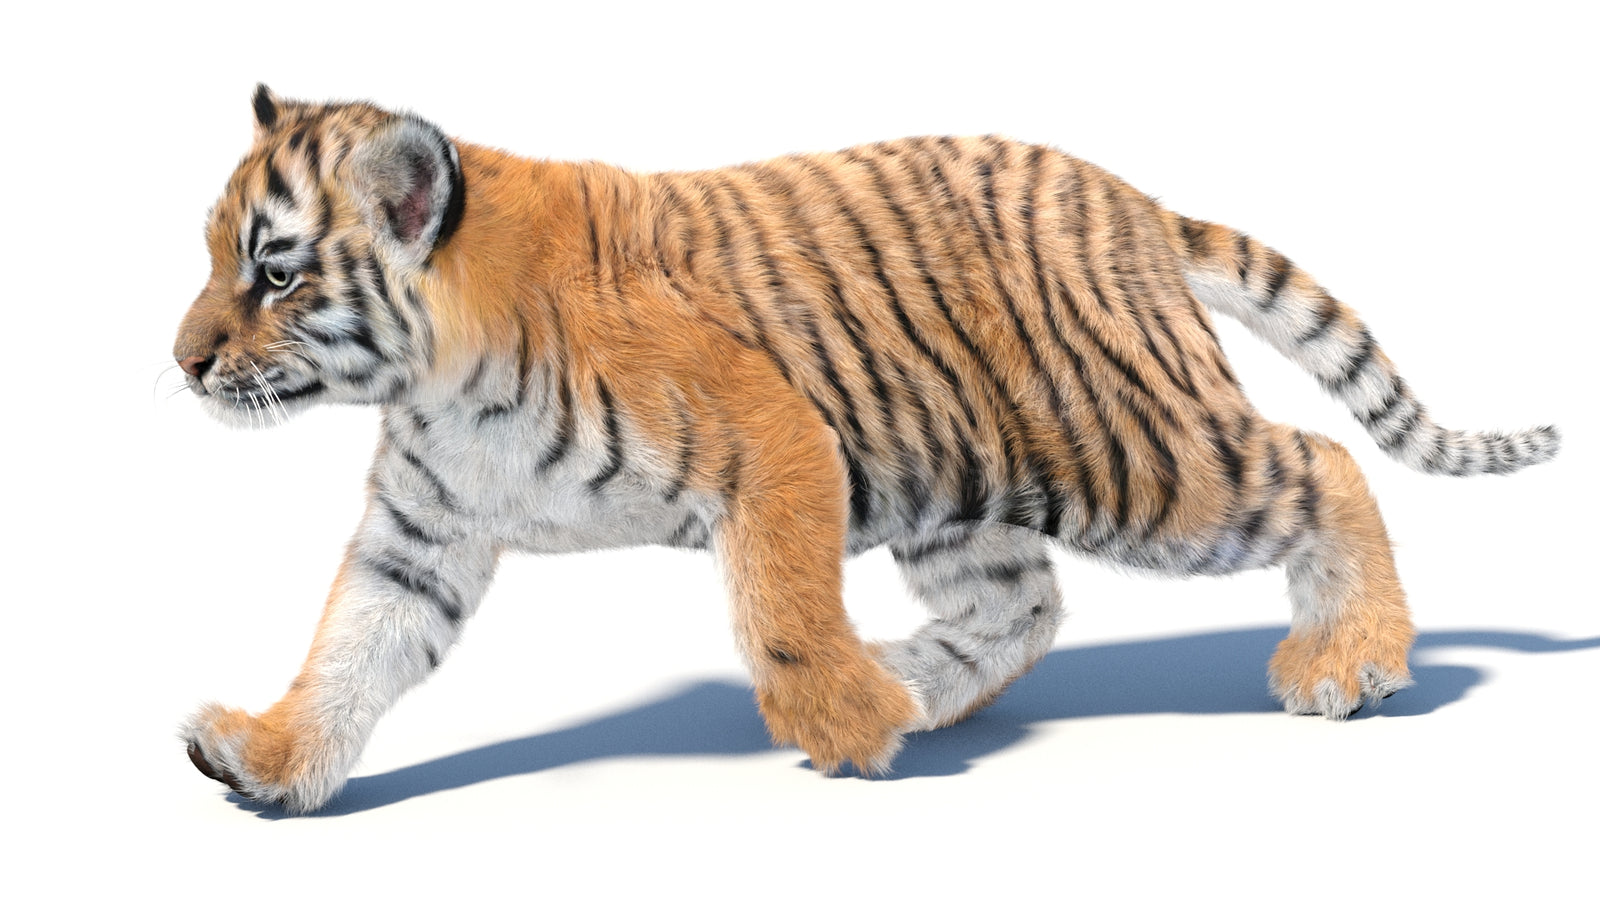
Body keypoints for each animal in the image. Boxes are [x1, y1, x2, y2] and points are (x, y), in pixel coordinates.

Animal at [175, 85, 1559, 813]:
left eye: (275, 273)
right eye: (214, 255)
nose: (183, 361)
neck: (439, 377)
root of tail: (1128, 201)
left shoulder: (776, 436)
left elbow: (779, 606)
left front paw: (831, 717)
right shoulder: (422, 532)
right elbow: (353, 649)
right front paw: (272, 760)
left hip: (1140, 461)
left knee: (1324, 462)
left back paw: (1353, 659)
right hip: (962, 491)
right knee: (1023, 607)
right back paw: (907, 686)